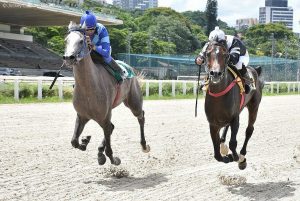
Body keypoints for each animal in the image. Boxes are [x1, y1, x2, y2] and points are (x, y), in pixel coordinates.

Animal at [62, 21, 150, 166]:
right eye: (66, 40)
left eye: (81, 41)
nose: (69, 58)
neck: (88, 88)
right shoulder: (82, 116)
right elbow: (74, 141)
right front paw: (85, 141)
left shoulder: (104, 116)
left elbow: (109, 150)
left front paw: (114, 159)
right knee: (111, 127)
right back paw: (99, 151)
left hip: (134, 103)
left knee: (140, 116)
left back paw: (144, 145)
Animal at [204, 41, 262, 170]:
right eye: (207, 54)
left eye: (226, 55)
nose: (215, 73)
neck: (218, 96)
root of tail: (255, 70)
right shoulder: (213, 123)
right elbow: (217, 154)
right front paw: (226, 156)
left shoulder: (235, 118)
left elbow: (233, 143)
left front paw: (237, 158)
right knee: (226, 130)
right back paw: (223, 143)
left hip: (254, 107)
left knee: (249, 130)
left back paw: (242, 154)